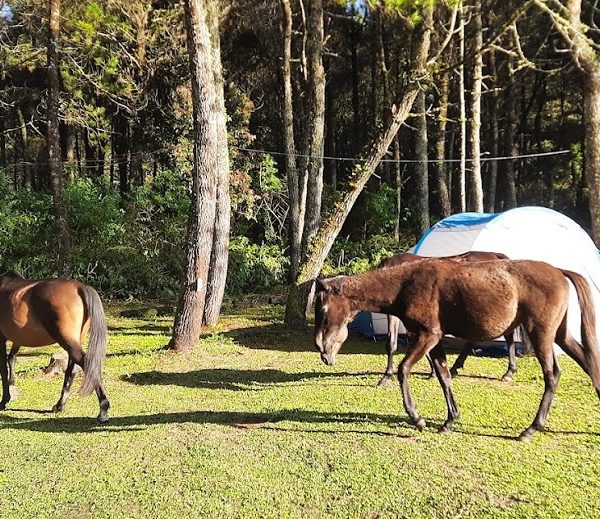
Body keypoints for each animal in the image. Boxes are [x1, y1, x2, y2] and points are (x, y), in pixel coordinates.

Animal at [0, 272, 110, 422]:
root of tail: (79, 287)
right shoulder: (17, 339)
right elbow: (11, 359)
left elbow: (3, 369)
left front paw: (4, 400)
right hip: (73, 343)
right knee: (71, 371)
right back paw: (59, 405)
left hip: (67, 341)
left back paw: (103, 410)